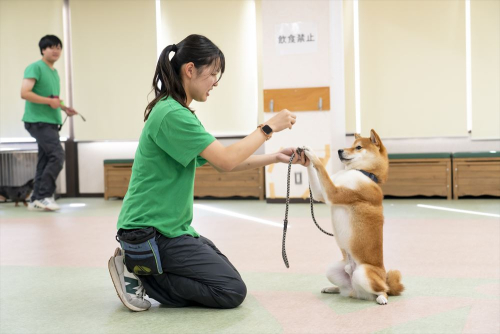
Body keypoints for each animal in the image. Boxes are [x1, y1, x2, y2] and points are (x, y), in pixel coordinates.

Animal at [300, 130, 402, 306]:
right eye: (351, 145)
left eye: (358, 147)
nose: (339, 150)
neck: (364, 173)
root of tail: (357, 292)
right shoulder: (321, 193)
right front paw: (305, 158)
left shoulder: (334, 193)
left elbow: (321, 168)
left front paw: (312, 154)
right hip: (332, 270)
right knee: (345, 289)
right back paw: (332, 288)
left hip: (363, 273)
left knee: (384, 289)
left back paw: (382, 297)